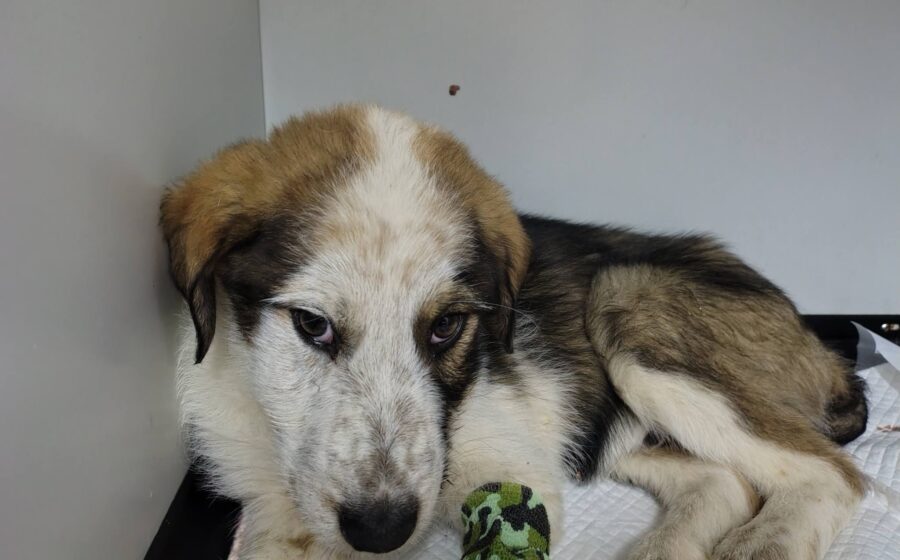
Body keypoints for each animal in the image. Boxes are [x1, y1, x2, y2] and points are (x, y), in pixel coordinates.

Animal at [161, 105, 868, 560]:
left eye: (447, 326)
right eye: (313, 325)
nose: (381, 530)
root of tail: (820, 342)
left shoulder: (517, 470)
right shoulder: (277, 514)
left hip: (628, 304)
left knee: (836, 476)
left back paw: (762, 545)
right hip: (609, 426)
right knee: (724, 480)